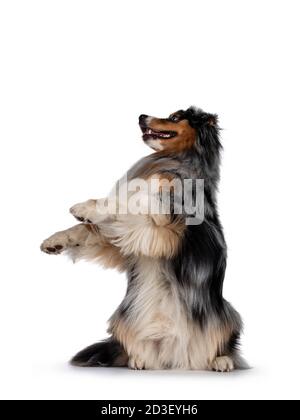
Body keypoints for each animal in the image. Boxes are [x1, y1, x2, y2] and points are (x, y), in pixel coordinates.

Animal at [41, 106, 247, 372]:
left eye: (175, 117)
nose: (141, 116)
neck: (174, 161)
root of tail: (177, 358)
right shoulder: (129, 243)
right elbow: (88, 230)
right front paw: (54, 241)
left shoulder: (168, 228)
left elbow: (134, 200)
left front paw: (85, 207)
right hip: (123, 318)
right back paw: (137, 360)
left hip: (228, 313)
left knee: (223, 345)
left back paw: (220, 360)